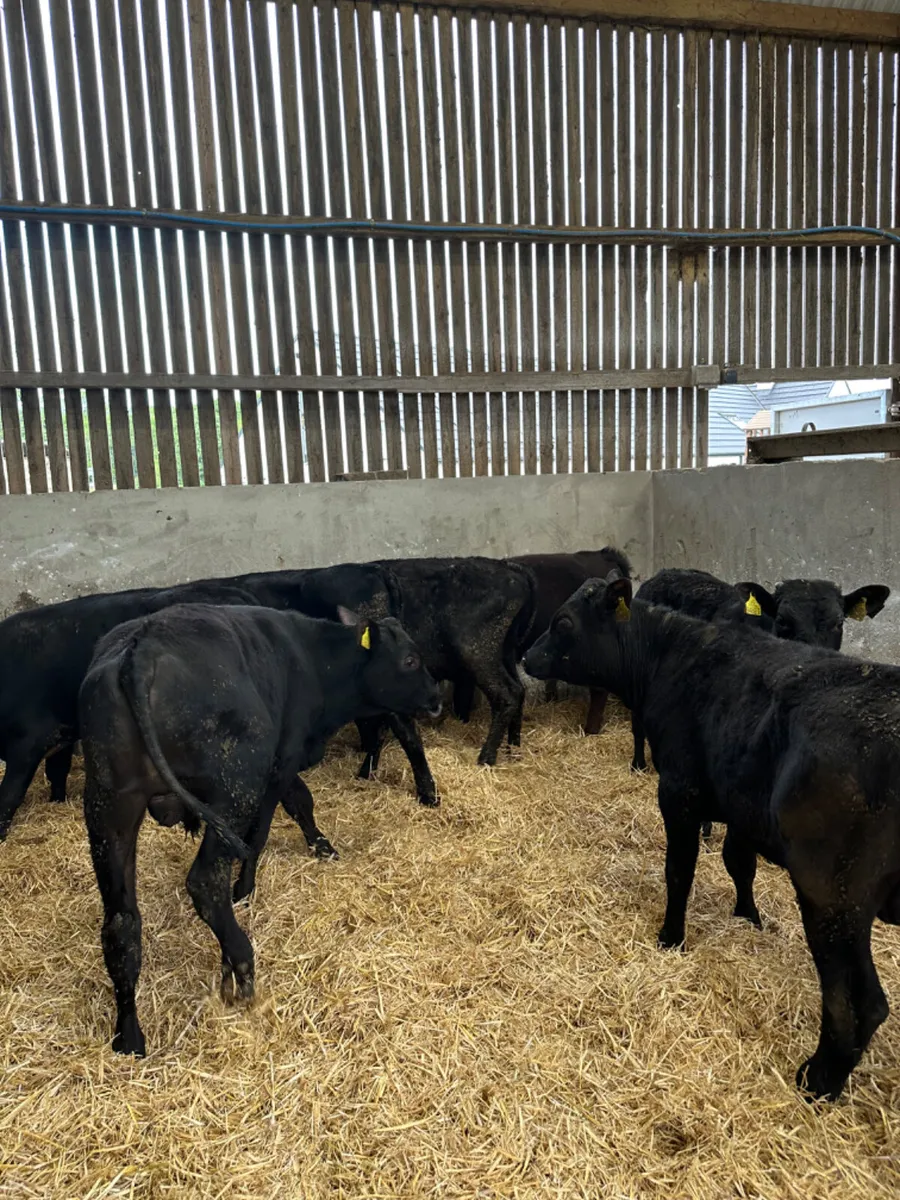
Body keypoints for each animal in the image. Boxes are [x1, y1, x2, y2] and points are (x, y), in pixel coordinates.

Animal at [79, 602, 441, 1056]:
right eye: (409, 660)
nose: (436, 698)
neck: (315, 660)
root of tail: (140, 648)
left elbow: (299, 802)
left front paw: (320, 845)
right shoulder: (277, 765)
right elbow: (270, 827)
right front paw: (249, 887)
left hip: (110, 808)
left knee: (122, 922)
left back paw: (129, 1034)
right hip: (236, 786)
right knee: (205, 881)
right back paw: (238, 965)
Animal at [524, 572, 900, 1101]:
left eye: (563, 622)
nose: (526, 656)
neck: (669, 655)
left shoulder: (679, 791)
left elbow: (679, 871)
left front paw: (670, 937)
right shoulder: (738, 803)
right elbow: (738, 862)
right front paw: (748, 917)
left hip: (834, 898)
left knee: (856, 1003)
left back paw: (816, 1082)